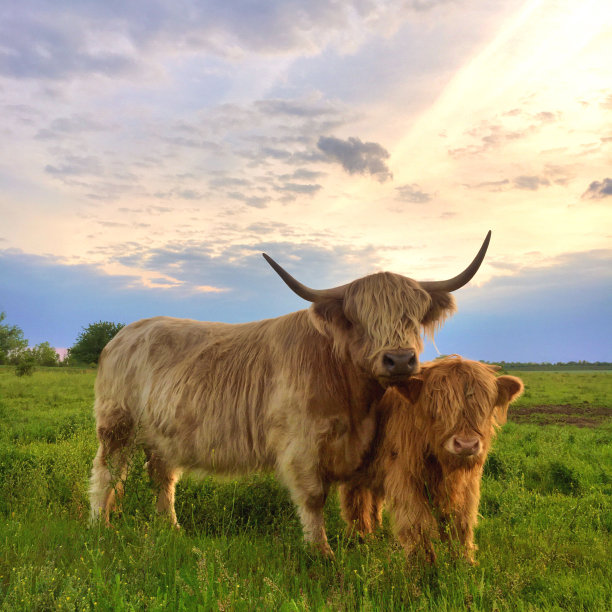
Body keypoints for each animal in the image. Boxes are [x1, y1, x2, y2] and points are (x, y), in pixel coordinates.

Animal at [91, 233, 490, 556]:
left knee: (162, 476)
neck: (353, 399)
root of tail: (125, 333)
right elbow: (313, 498)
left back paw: (170, 528)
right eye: (358, 320)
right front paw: (321, 553)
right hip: (117, 424)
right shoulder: (301, 444)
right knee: (107, 471)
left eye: (414, 318)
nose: (400, 360)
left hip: (161, 434)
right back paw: (100, 527)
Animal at [340, 356, 520, 560]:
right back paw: (360, 539)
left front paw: (464, 560)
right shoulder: (405, 479)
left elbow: (461, 521)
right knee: (355, 499)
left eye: (484, 406)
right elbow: (416, 524)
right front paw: (424, 565)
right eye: (436, 406)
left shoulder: (466, 484)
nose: (466, 445)